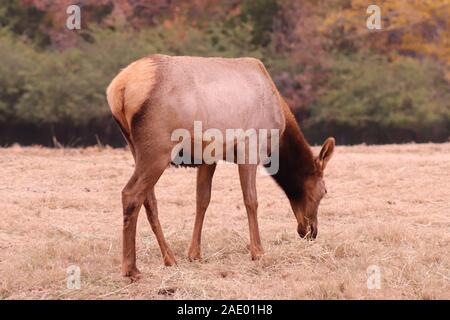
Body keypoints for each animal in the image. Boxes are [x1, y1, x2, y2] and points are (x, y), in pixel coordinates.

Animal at [105, 55, 334, 280]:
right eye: (324, 191)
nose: (311, 231)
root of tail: (119, 89)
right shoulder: (249, 147)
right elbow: (251, 200)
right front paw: (258, 252)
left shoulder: (209, 157)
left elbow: (202, 200)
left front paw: (195, 254)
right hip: (158, 147)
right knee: (131, 194)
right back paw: (131, 269)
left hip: (135, 146)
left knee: (149, 201)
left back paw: (169, 258)